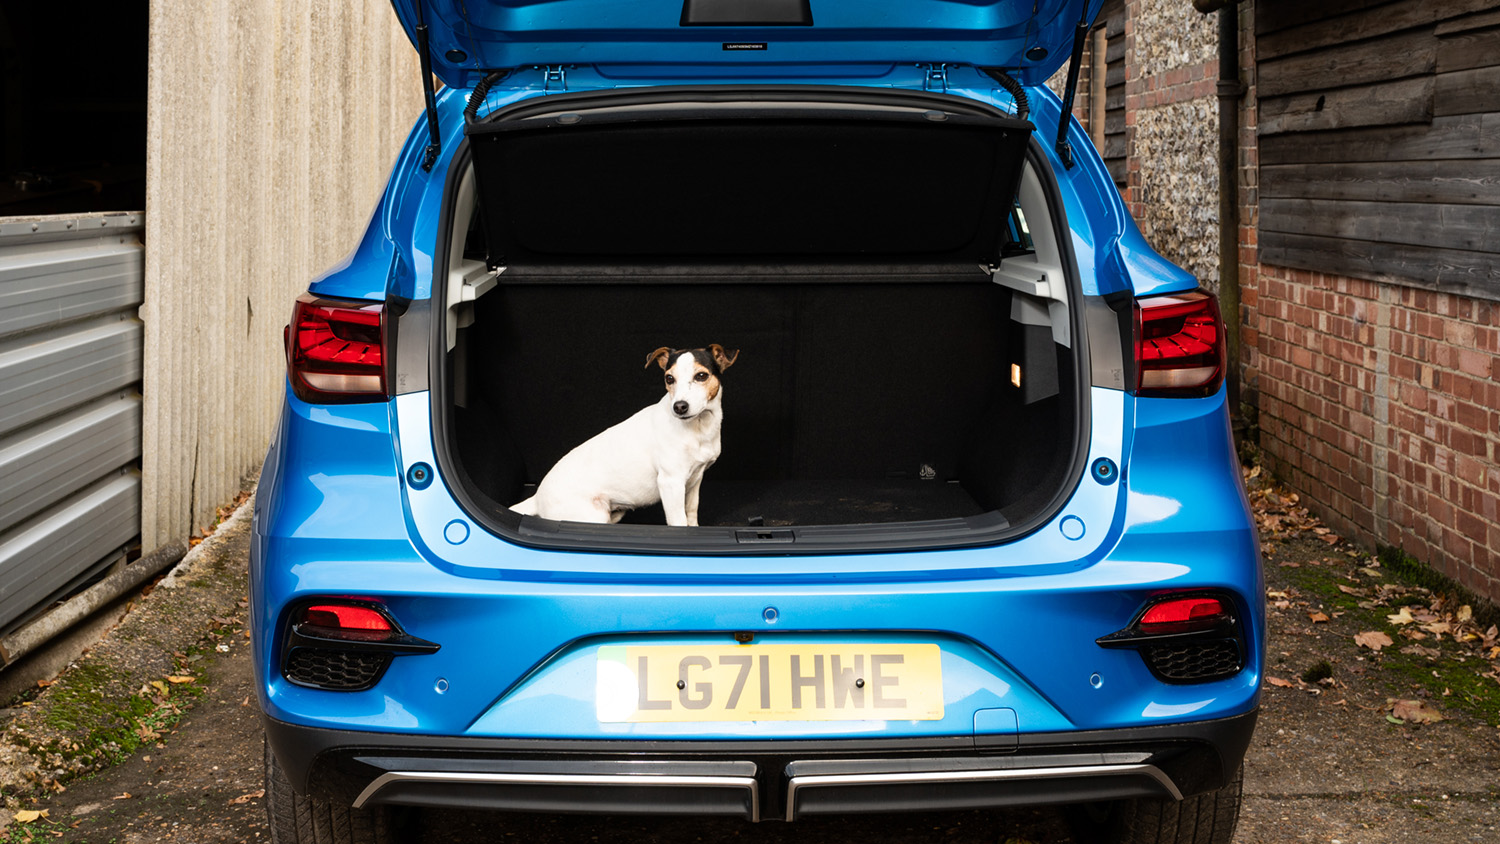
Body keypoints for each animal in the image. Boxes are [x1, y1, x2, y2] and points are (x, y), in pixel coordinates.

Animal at [510, 344, 738, 527]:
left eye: (701, 376)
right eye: (669, 378)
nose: (679, 407)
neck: (699, 427)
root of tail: (537, 498)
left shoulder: (695, 480)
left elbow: (691, 512)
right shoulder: (671, 483)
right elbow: (679, 521)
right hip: (593, 515)